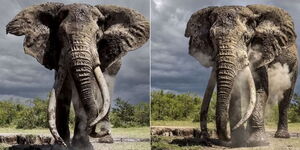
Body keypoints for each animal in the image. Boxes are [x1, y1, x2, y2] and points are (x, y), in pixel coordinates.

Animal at [7, 2, 150, 150]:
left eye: (97, 36)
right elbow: (62, 93)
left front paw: (82, 146)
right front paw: (60, 146)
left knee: (107, 87)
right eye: (60, 36)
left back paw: (106, 138)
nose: (93, 128)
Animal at [185, 4, 298, 146]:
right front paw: (237, 142)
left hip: (294, 65)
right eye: (211, 37)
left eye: (246, 37)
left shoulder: (261, 51)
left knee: (285, 96)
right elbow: (235, 92)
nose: (207, 138)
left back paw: (281, 136)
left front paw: (257, 142)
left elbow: (260, 90)